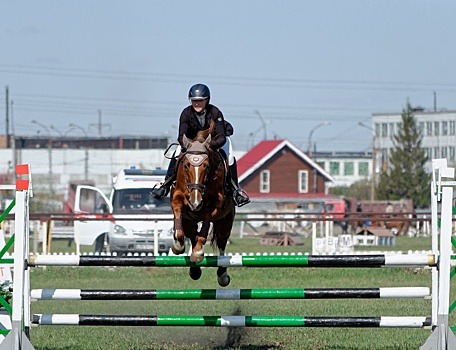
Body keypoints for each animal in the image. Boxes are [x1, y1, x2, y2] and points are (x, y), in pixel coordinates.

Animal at [170, 123, 235, 288]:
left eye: (206, 166)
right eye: (186, 165)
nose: (195, 202)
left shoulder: (215, 205)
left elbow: (205, 225)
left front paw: (198, 253)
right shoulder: (177, 197)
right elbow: (178, 214)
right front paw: (178, 246)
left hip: (225, 221)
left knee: (222, 243)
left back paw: (222, 274)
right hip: (189, 220)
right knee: (192, 234)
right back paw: (194, 270)